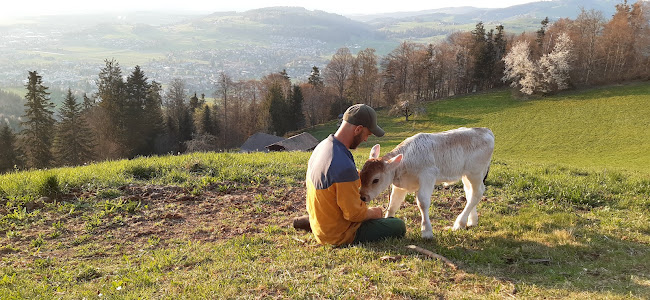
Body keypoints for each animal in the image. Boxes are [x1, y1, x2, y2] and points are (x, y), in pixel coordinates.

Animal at [360, 127, 492, 239]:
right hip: (466, 175)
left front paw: (426, 231)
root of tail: (485, 130)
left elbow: (422, 202)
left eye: (375, 180)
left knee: (477, 193)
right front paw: (388, 219)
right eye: (361, 175)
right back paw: (472, 221)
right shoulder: (400, 186)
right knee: (470, 192)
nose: (363, 197)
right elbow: (393, 203)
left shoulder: (428, 175)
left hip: (475, 172)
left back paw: (460, 223)